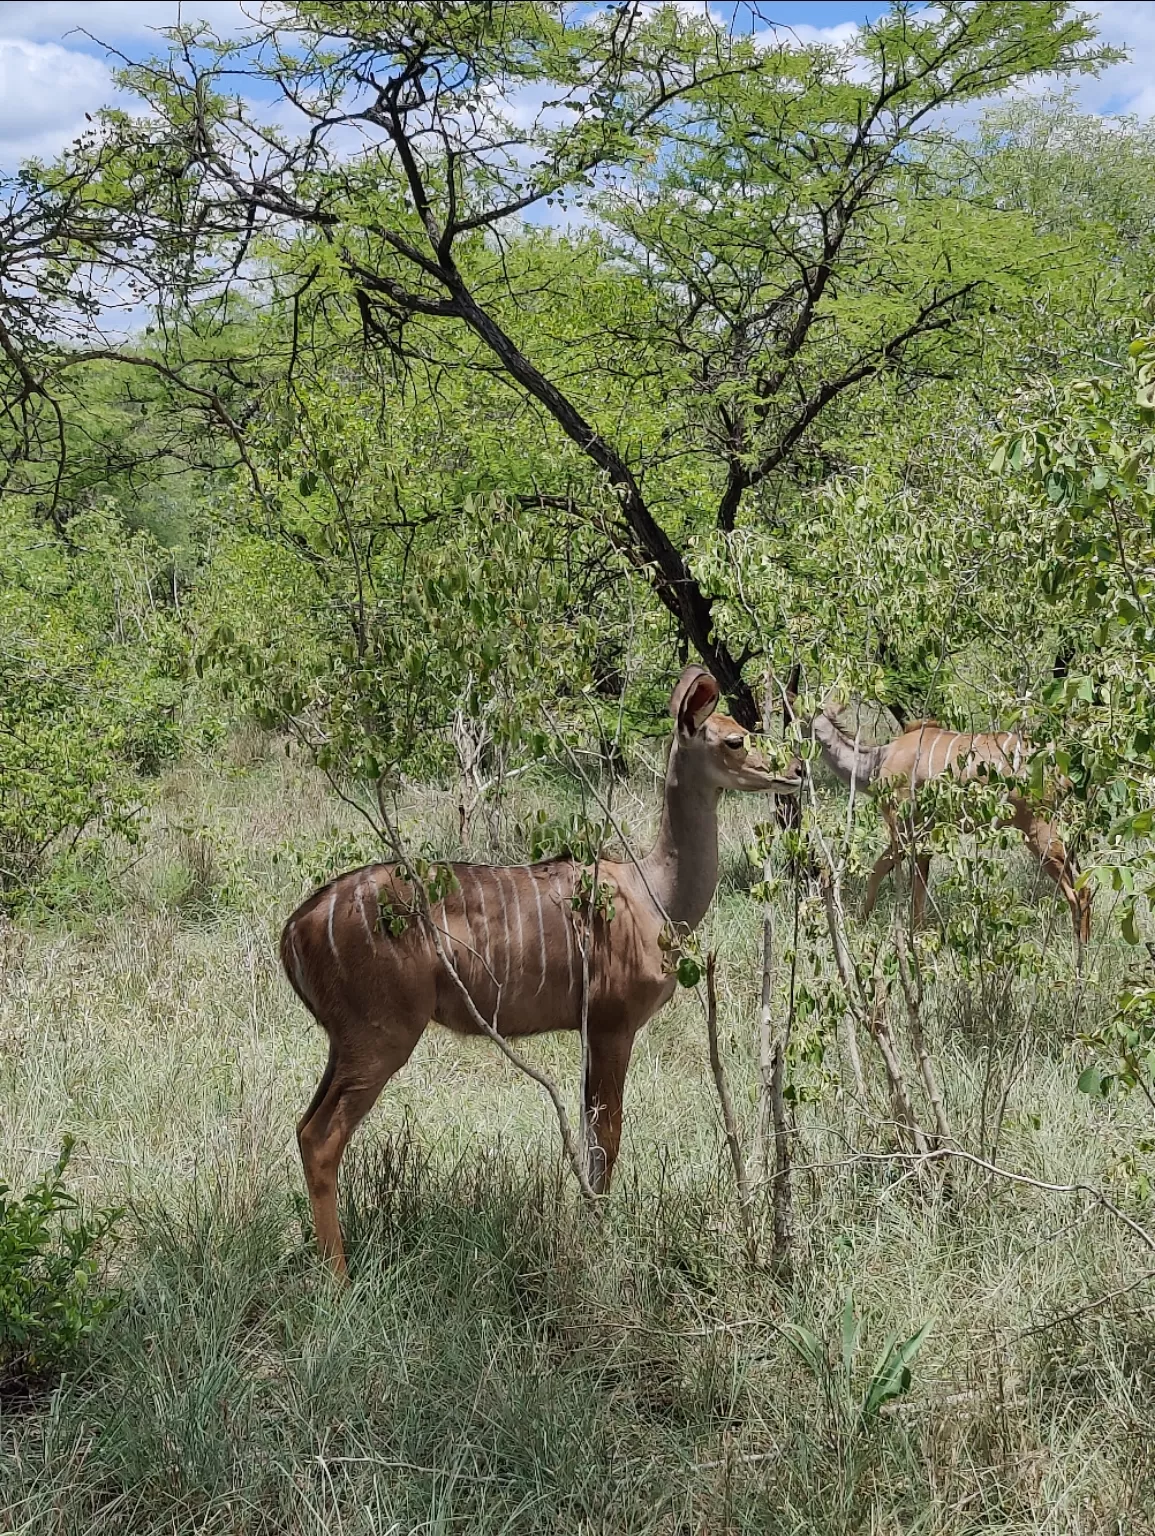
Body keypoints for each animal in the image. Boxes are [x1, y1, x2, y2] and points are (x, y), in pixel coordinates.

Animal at [281, 666, 804, 1277]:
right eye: (735, 739)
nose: (796, 769)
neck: (655, 894)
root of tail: (294, 929)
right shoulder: (612, 1023)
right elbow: (606, 1137)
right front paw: (599, 1241)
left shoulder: (589, 1032)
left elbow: (590, 1132)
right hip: (380, 1035)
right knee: (322, 1137)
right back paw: (338, 1277)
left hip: (343, 1040)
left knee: (303, 1127)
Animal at [804, 703, 1093, 940]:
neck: (877, 760)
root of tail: (1065, 770)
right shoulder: (922, 831)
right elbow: (899, 875)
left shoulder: (906, 827)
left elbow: (893, 874)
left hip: (1040, 830)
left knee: (1080, 890)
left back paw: (1081, 949)